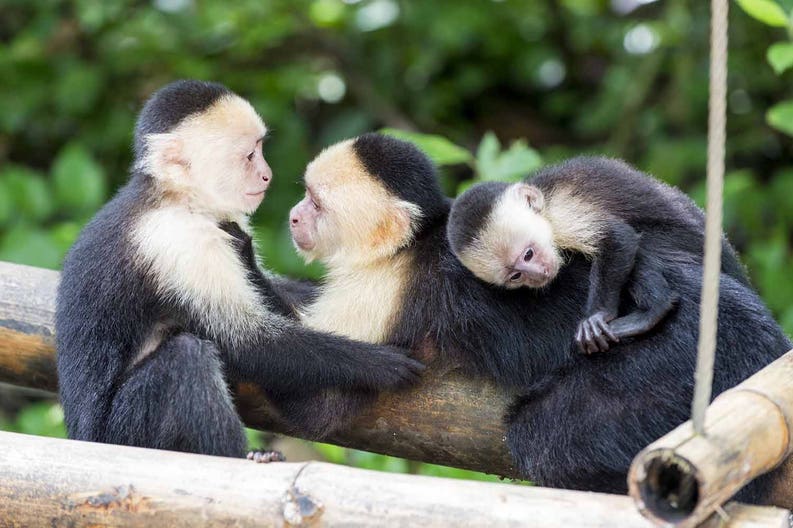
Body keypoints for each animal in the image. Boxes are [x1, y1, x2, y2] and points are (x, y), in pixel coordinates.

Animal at [55, 81, 424, 458]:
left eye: (260, 148)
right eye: (249, 155)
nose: (267, 175)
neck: (175, 199)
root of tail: (80, 437)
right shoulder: (181, 241)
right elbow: (244, 343)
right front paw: (378, 364)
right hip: (121, 435)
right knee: (187, 359)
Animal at [446, 156, 749, 354]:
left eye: (528, 254)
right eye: (516, 276)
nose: (538, 275)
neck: (544, 201)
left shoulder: (563, 210)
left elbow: (617, 238)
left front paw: (597, 316)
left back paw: (652, 311)